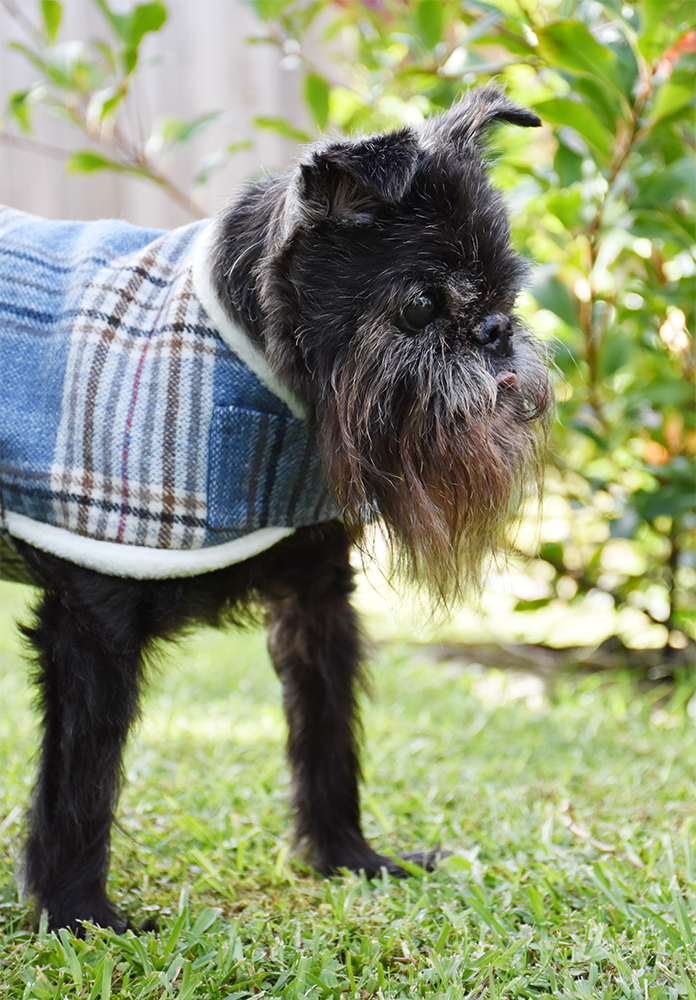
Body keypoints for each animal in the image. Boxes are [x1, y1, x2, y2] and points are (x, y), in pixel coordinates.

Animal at [1, 84, 548, 928]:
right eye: (423, 303)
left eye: (505, 292)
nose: (494, 330)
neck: (259, 360)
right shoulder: (91, 623)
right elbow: (80, 779)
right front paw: (76, 913)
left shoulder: (315, 598)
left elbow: (327, 734)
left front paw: (351, 860)